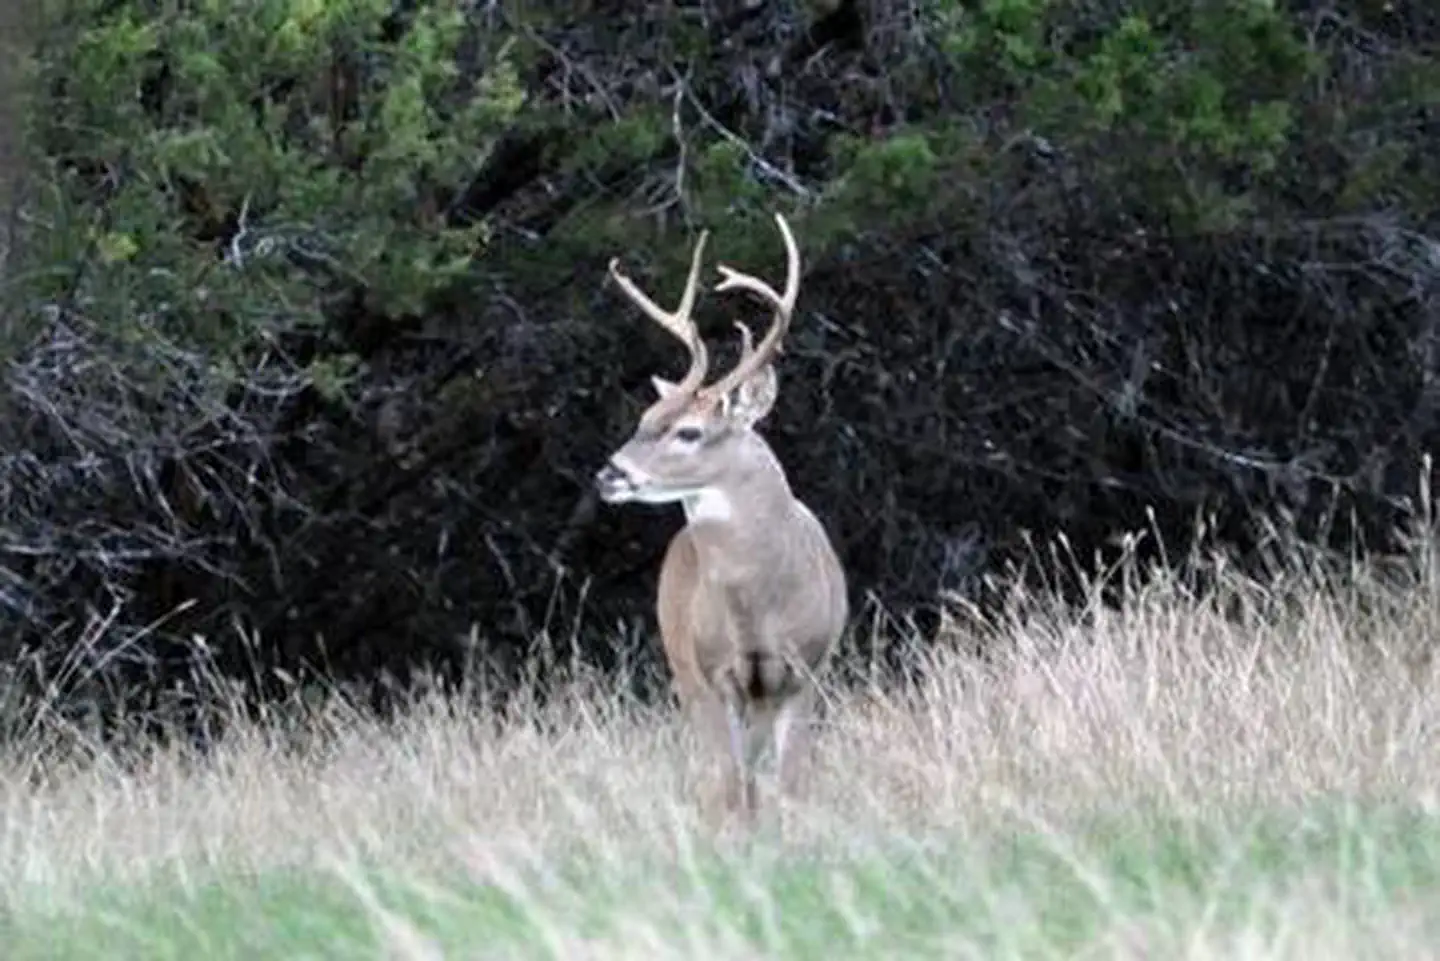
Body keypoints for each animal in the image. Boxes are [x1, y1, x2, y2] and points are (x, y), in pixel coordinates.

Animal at [593, 213, 849, 824]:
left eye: (689, 431)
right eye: (645, 418)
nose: (608, 475)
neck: (760, 608)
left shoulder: (805, 671)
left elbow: (790, 785)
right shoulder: (713, 675)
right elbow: (733, 787)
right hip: (683, 668)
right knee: (724, 776)